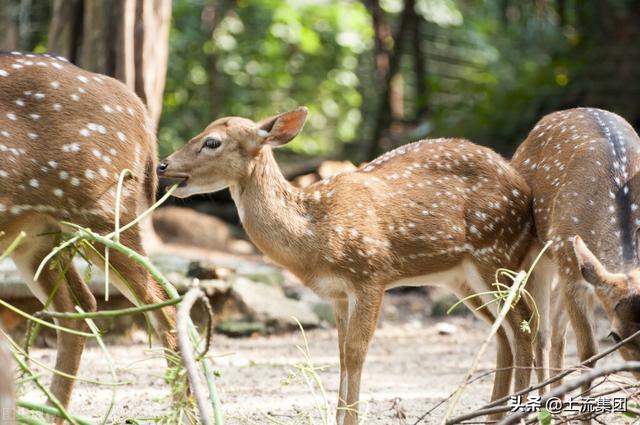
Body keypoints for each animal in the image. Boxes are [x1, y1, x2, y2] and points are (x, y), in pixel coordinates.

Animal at [159, 107, 536, 424]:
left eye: (212, 141)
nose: (163, 165)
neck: (314, 233)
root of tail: (523, 185)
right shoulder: (337, 294)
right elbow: (340, 354)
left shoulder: (371, 274)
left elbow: (355, 353)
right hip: (461, 277)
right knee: (504, 330)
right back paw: (494, 415)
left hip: (494, 252)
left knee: (524, 324)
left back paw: (517, 412)